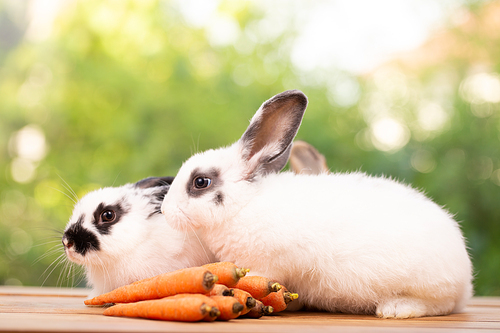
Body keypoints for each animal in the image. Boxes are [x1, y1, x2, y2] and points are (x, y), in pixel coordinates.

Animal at [162, 89, 474, 318]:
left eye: (201, 182)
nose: (165, 210)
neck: (244, 205)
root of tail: (466, 278)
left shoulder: (266, 263)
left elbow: (260, 280)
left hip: (430, 286)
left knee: (441, 305)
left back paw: (395, 309)